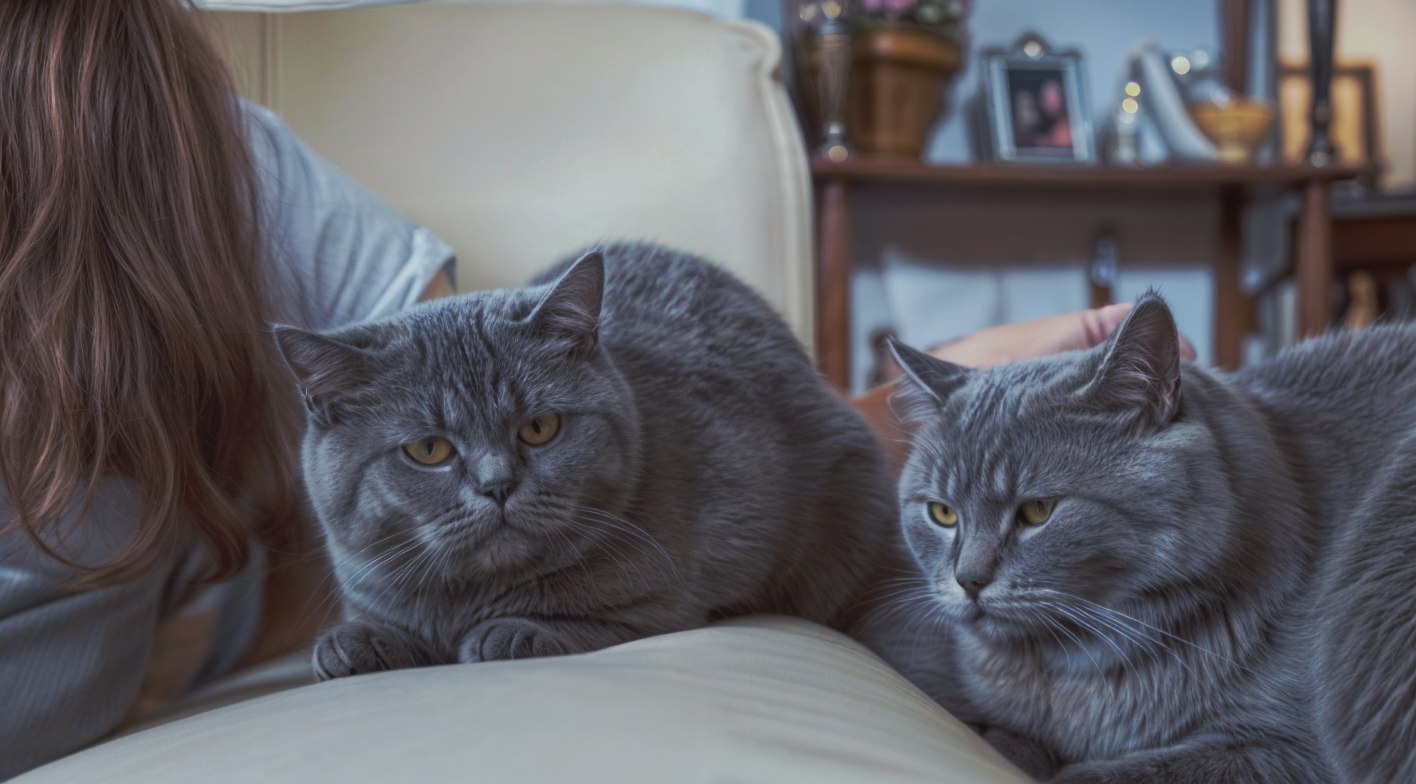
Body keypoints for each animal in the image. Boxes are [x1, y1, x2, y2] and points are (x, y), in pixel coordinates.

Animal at [273, 241, 894, 676]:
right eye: (429, 450)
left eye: (539, 428)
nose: (497, 484)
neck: (471, 600)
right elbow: (375, 622)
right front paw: (356, 643)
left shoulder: (664, 603)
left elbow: (595, 621)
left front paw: (510, 632)